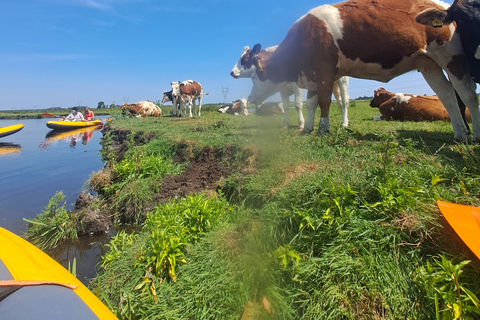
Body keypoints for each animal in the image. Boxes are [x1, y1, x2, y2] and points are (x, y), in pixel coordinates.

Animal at [251, 0, 480, 141]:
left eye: (255, 77)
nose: (252, 98)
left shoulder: (324, 70)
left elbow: (323, 102)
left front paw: (322, 129)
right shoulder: (313, 74)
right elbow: (311, 103)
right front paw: (307, 128)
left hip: (452, 57)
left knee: (467, 94)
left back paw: (475, 134)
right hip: (428, 63)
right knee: (447, 95)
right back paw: (460, 134)